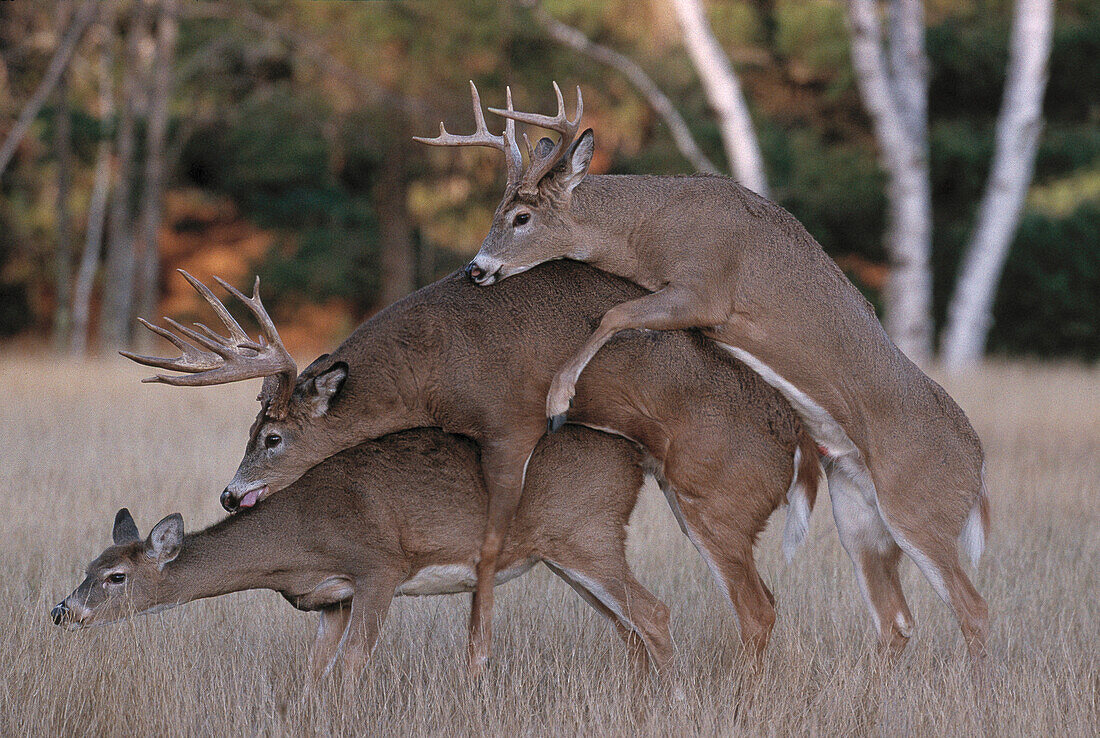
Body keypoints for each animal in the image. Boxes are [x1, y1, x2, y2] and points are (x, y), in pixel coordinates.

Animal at [55, 431, 673, 686]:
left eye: (115, 576)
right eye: (86, 568)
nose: (62, 612)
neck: (297, 539)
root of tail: (635, 458)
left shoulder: (379, 566)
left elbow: (351, 666)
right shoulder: (332, 598)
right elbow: (312, 672)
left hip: (587, 535)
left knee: (654, 613)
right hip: (565, 555)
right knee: (629, 629)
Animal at [124, 262, 822, 673]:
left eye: (271, 437)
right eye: (249, 431)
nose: (228, 494)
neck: (418, 373)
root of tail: (801, 444)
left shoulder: (508, 426)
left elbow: (485, 548)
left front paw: (477, 660)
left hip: (709, 505)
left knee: (750, 608)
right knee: (650, 623)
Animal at [415, 85, 994, 677]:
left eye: (522, 216)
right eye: (496, 212)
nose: (477, 268)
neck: (648, 229)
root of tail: (978, 470)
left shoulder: (705, 289)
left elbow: (614, 316)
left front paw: (559, 398)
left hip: (919, 507)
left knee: (973, 608)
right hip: (859, 515)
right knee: (896, 619)